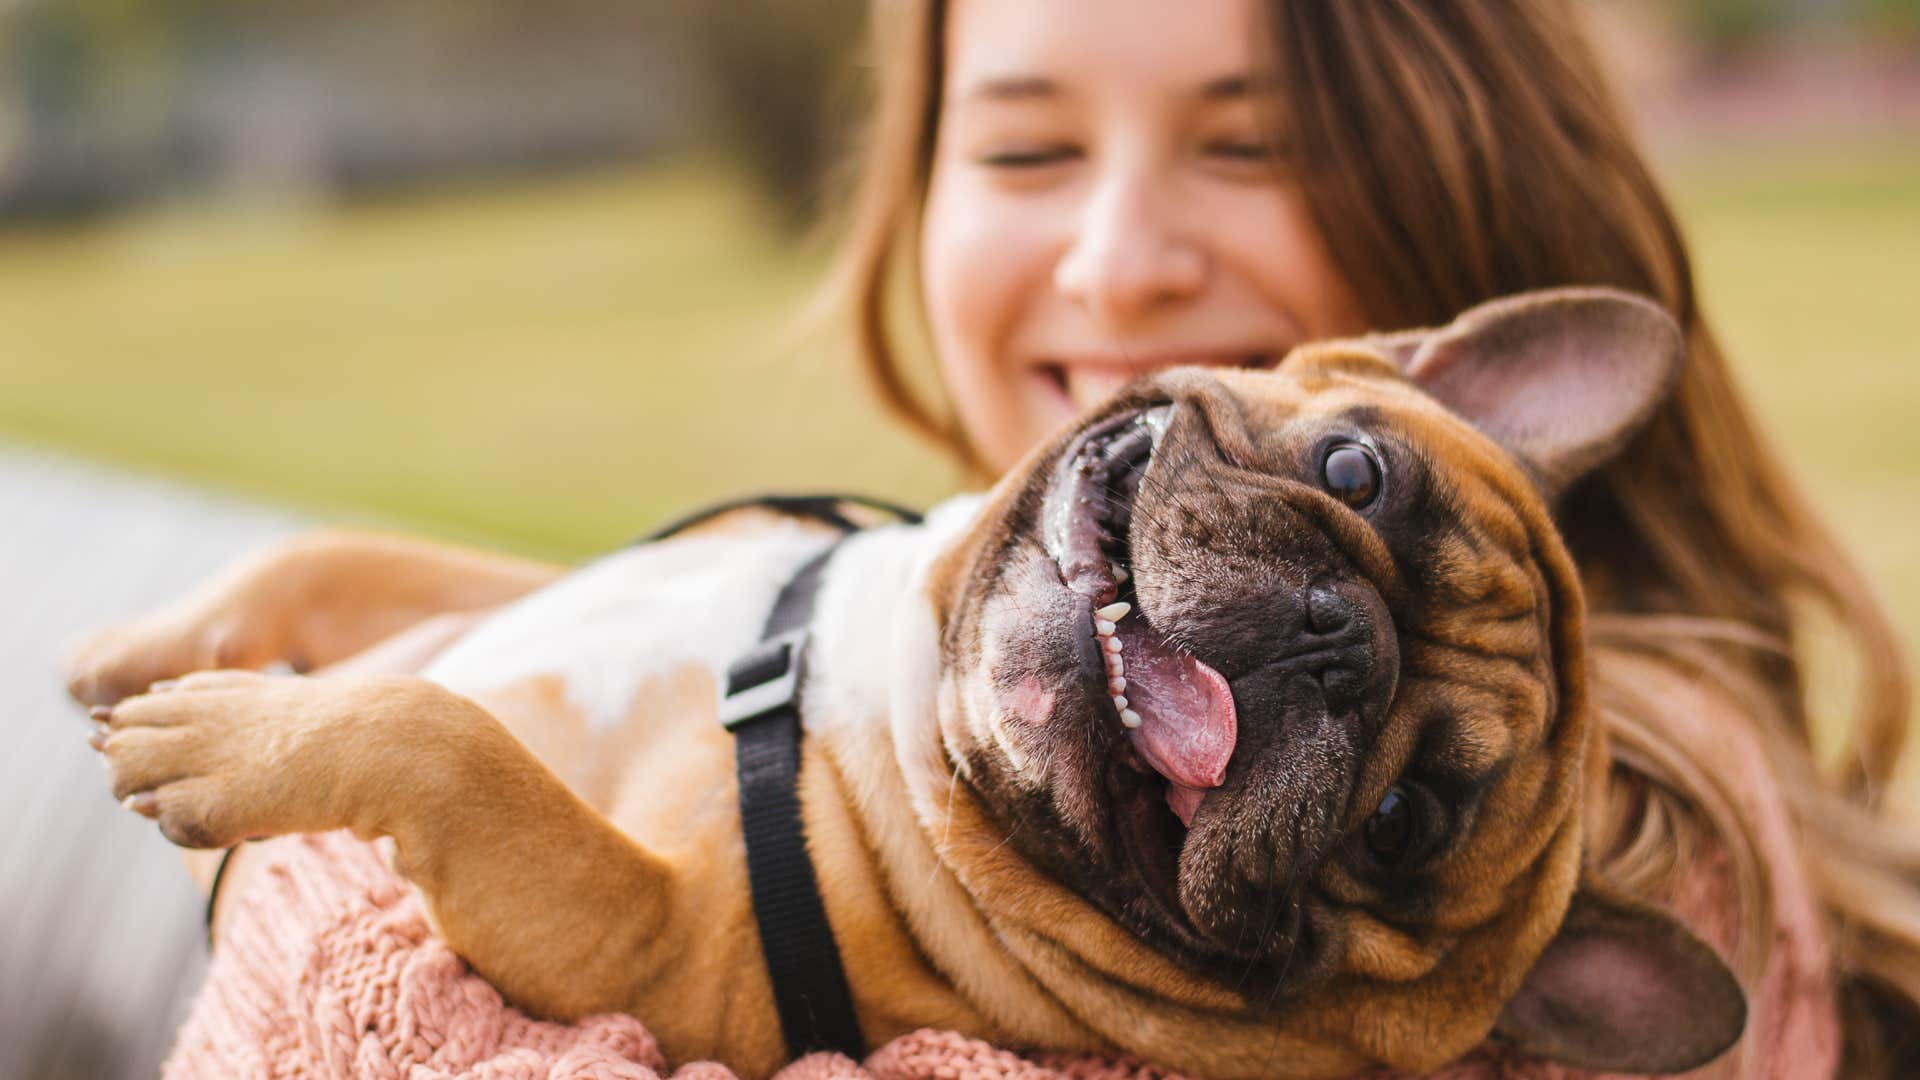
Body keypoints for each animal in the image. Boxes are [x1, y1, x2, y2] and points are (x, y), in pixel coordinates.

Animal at [71, 284, 1743, 1068]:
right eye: (1355, 471)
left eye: (1402, 824)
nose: (1340, 637)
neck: (877, 686)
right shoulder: (537, 587)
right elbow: (343, 562)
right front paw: (144, 649)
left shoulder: (643, 949)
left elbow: (447, 741)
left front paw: (226, 739)